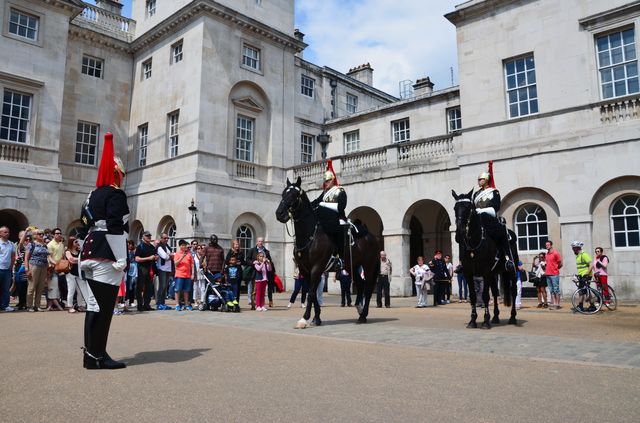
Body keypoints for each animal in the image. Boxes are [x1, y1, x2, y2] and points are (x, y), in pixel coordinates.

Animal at [276, 176, 380, 328]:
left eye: (294, 195)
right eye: (283, 193)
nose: (279, 214)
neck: (310, 235)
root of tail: (371, 235)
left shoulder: (316, 267)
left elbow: (311, 293)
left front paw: (304, 318)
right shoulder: (304, 269)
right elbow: (312, 293)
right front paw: (316, 318)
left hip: (368, 265)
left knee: (367, 287)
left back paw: (363, 315)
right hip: (351, 265)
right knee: (360, 284)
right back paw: (359, 310)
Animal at [450, 190, 520, 330]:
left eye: (468, 208)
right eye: (455, 208)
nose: (459, 233)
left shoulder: (486, 272)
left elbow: (485, 296)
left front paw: (486, 321)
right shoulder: (468, 273)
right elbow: (473, 296)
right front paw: (473, 320)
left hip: (511, 271)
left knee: (514, 291)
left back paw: (512, 317)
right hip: (494, 274)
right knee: (495, 292)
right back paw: (496, 317)